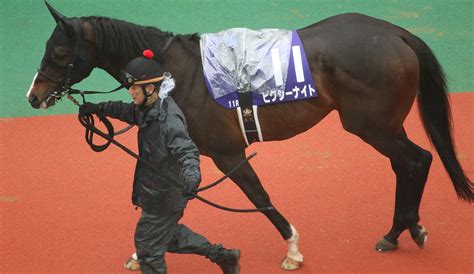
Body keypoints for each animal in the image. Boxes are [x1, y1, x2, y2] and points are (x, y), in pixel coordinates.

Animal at [27, 3, 472, 270]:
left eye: (60, 54)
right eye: (47, 48)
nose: (33, 95)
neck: (176, 74)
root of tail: (396, 33)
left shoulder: (227, 153)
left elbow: (258, 197)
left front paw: (292, 249)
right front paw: (142, 251)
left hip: (371, 125)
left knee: (417, 160)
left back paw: (403, 231)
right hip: (382, 125)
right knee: (406, 164)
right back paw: (402, 231)